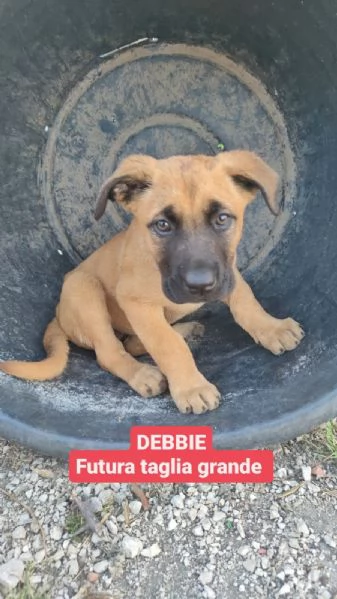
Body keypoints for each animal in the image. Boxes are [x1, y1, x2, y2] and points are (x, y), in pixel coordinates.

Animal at [0, 151, 304, 412]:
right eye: (162, 225)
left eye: (222, 218)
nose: (200, 285)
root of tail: (58, 315)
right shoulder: (136, 301)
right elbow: (167, 345)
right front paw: (191, 387)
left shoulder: (227, 271)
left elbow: (245, 300)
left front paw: (272, 328)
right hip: (83, 288)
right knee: (110, 351)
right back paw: (142, 373)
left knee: (133, 342)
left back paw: (185, 330)